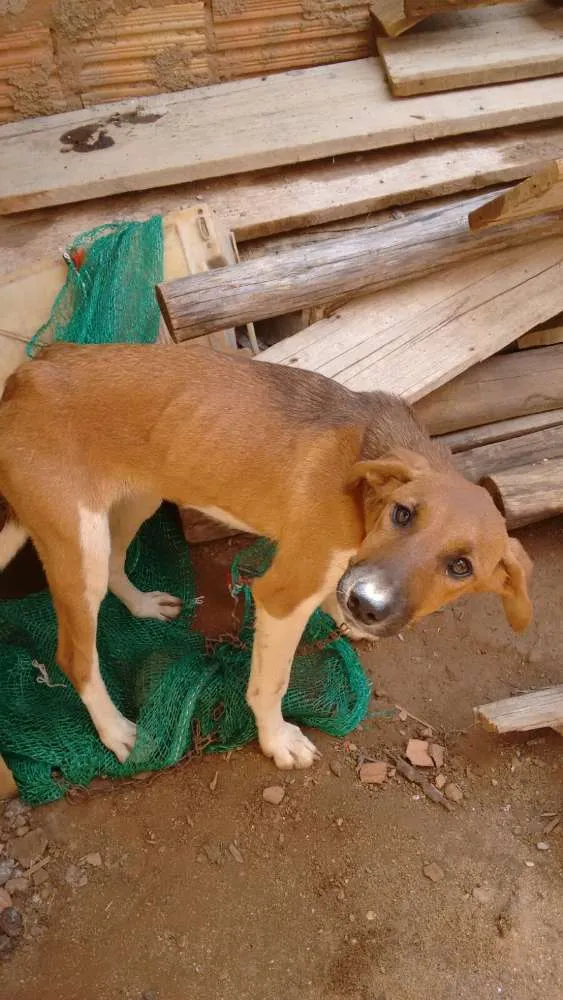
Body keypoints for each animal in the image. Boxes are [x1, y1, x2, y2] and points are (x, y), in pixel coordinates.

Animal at [0, 346, 532, 772]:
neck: (366, 487)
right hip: (79, 544)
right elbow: (270, 684)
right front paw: (277, 741)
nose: (366, 605)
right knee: (74, 656)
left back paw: (143, 606)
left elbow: (335, 587)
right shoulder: (282, 594)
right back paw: (117, 733)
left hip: (137, 500)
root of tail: (29, 374)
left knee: (116, 566)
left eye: (460, 567)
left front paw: (344, 616)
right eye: (403, 514)